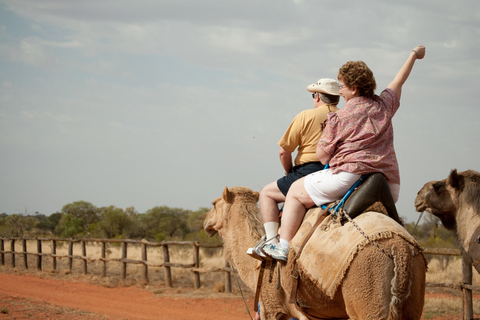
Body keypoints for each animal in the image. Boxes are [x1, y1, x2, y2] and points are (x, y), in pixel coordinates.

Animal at [204, 186, 426, 318]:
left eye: (214, 204)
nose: (206, 222)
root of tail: (400, 247)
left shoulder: (274, 308)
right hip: (412, 297)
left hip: (368, 292)